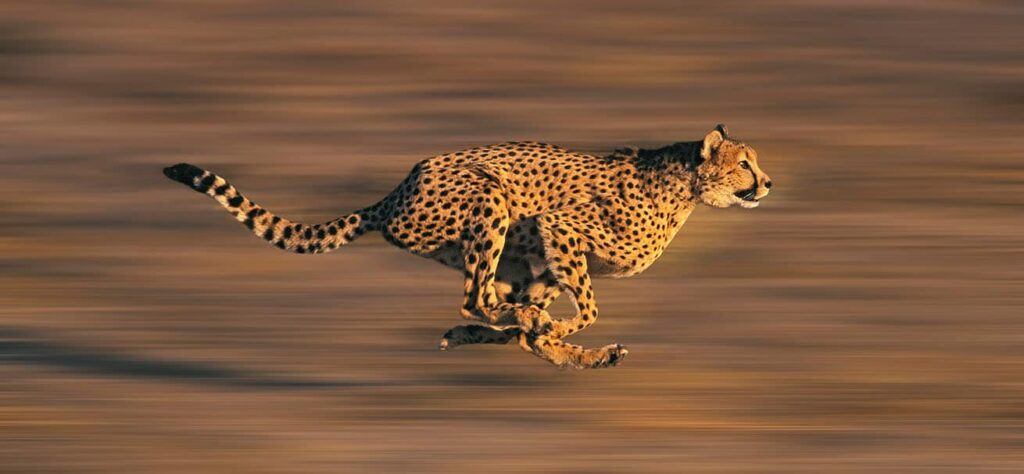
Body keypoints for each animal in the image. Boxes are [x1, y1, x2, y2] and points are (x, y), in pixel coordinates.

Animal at [163, 124, 773, 369]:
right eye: (745, 163)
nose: (767, 183)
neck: (686, 186)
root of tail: (399, 188)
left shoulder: (546, 253)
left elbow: (546, 325)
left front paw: (558, 338)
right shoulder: (559, 227)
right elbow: (587, 307)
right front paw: (557, 327)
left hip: (514, 251)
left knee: (493, 310)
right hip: (489, 199)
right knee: (477, 299)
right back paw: (517, 326)